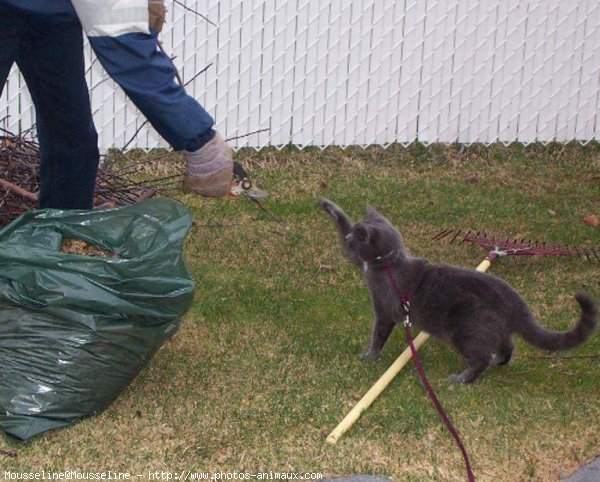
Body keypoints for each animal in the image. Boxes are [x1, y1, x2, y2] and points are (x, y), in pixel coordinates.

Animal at [318, 198, 596, 382]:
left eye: (355, 239)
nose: (348, 241)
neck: (390, 262)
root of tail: (517, 305)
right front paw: (329, 206)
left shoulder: (384, 308)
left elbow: (378, 334)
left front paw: (370, 356)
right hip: (495, 330)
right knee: (507, 347)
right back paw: (498, 361)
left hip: (466, 331)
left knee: (481, 358)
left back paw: (461, 379)